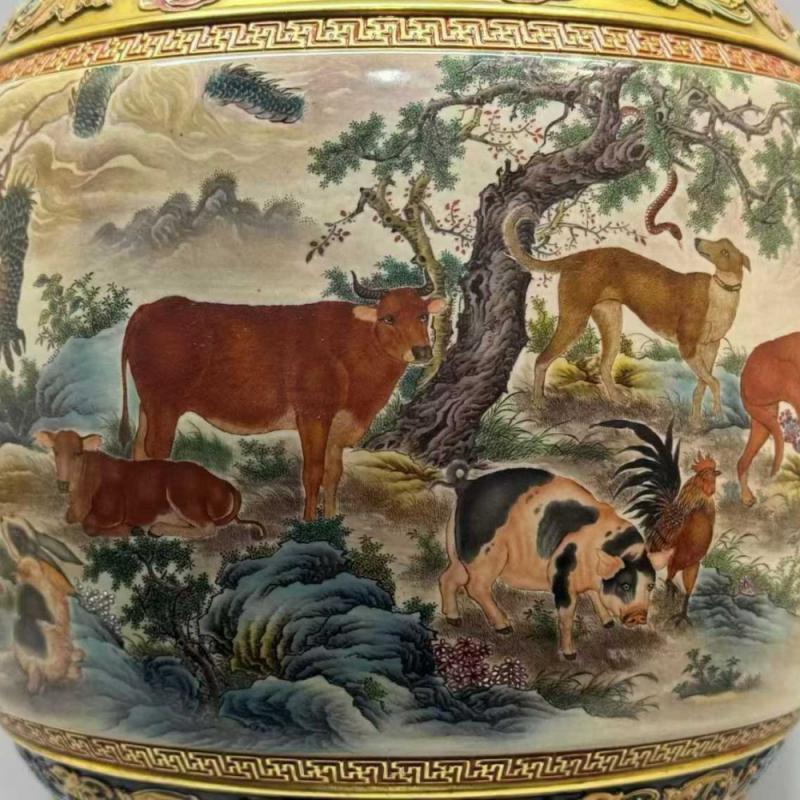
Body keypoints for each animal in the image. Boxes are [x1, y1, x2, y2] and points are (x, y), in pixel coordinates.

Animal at [118, 275, 445, 520]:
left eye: (423, 315)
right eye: (388, 318)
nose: (422, 351)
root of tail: (148, 308)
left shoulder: (339, 426)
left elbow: (334, 473)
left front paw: (334, 520)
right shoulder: (313, 415)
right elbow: (312, 472)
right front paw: (310, 524)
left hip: (148, 406)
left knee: (139, 449)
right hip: (164, 405)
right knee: (157, 451)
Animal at [438, 463, 656, 659]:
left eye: (650, 586)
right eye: (625, 585)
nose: (639, 615)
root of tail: (465, 485)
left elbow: (595, 595)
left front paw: (608, 624)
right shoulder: (561, 574)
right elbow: (567, 616)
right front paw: (570, 655)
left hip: (460, 554)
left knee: (447, 578)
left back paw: (454, 620)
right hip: (485, 554)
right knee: (475, 587)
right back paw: (505, 628)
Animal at [503, 206, 750, 425]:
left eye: (725, 250)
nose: (697, 240)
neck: (720, 292)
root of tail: (576, 257)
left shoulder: (710, 348)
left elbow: (703, 384)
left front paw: (697, 421)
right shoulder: (687, 347)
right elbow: (714, 381)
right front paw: (717, 413)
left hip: (611, 322)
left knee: (603, 367)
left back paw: (618, 401)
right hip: (574, 320)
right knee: (542, 359)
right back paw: (538, 404)